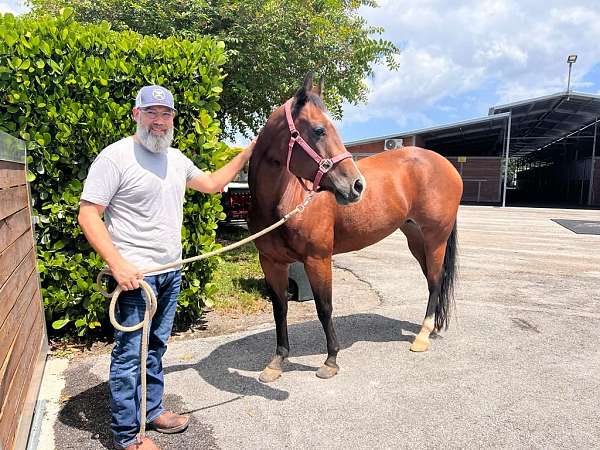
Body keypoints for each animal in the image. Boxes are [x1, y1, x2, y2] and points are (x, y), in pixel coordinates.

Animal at [246, 74, 462, 384]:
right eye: (319, 130)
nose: (357, 185)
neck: (285, 200)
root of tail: (446, 165)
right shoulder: (271, 262)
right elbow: (280, 308)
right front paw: (277, 361)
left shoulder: (318, 259)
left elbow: (324, 308)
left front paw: (331, 360)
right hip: (416, 238)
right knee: (435, 280)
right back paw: (431, 328)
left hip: (436, 238)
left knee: (435, 280)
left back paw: (422, 336)